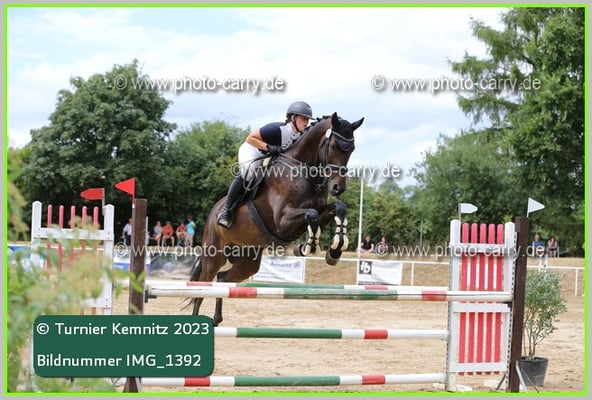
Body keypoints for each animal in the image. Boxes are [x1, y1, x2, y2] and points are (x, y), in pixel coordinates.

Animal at [189, 112, 364, 325]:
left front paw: (334, 250)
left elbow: (337, 208)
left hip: (247, 259)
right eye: (333, 146)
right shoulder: (283, 222)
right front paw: (308, 246)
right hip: (214, 255)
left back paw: (216, 319)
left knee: (222, 280)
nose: (339, 188)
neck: (303, 170)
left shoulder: (319, 210)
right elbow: (311, 215)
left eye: (352, 149)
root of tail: (212, 213)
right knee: (201, 288)